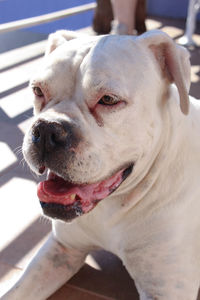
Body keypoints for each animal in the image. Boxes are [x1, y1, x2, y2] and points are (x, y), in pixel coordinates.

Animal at [1, 28, 200, 300]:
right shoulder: (62, 249)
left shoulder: (165, 289)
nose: (47, 129)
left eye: (108, 99)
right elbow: (15, 291)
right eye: (38, 90)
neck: (114, 204)